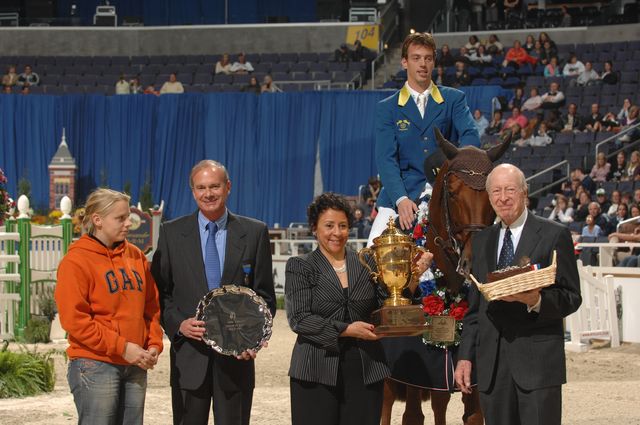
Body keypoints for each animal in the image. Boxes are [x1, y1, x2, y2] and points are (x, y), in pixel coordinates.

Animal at [380, 130, 510, 424]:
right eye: (451, 193)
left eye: (492, 194)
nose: (474, 262)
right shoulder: (414, 369)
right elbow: (412, 415)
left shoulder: (467, 370)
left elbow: (472, 415)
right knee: (386, 404)